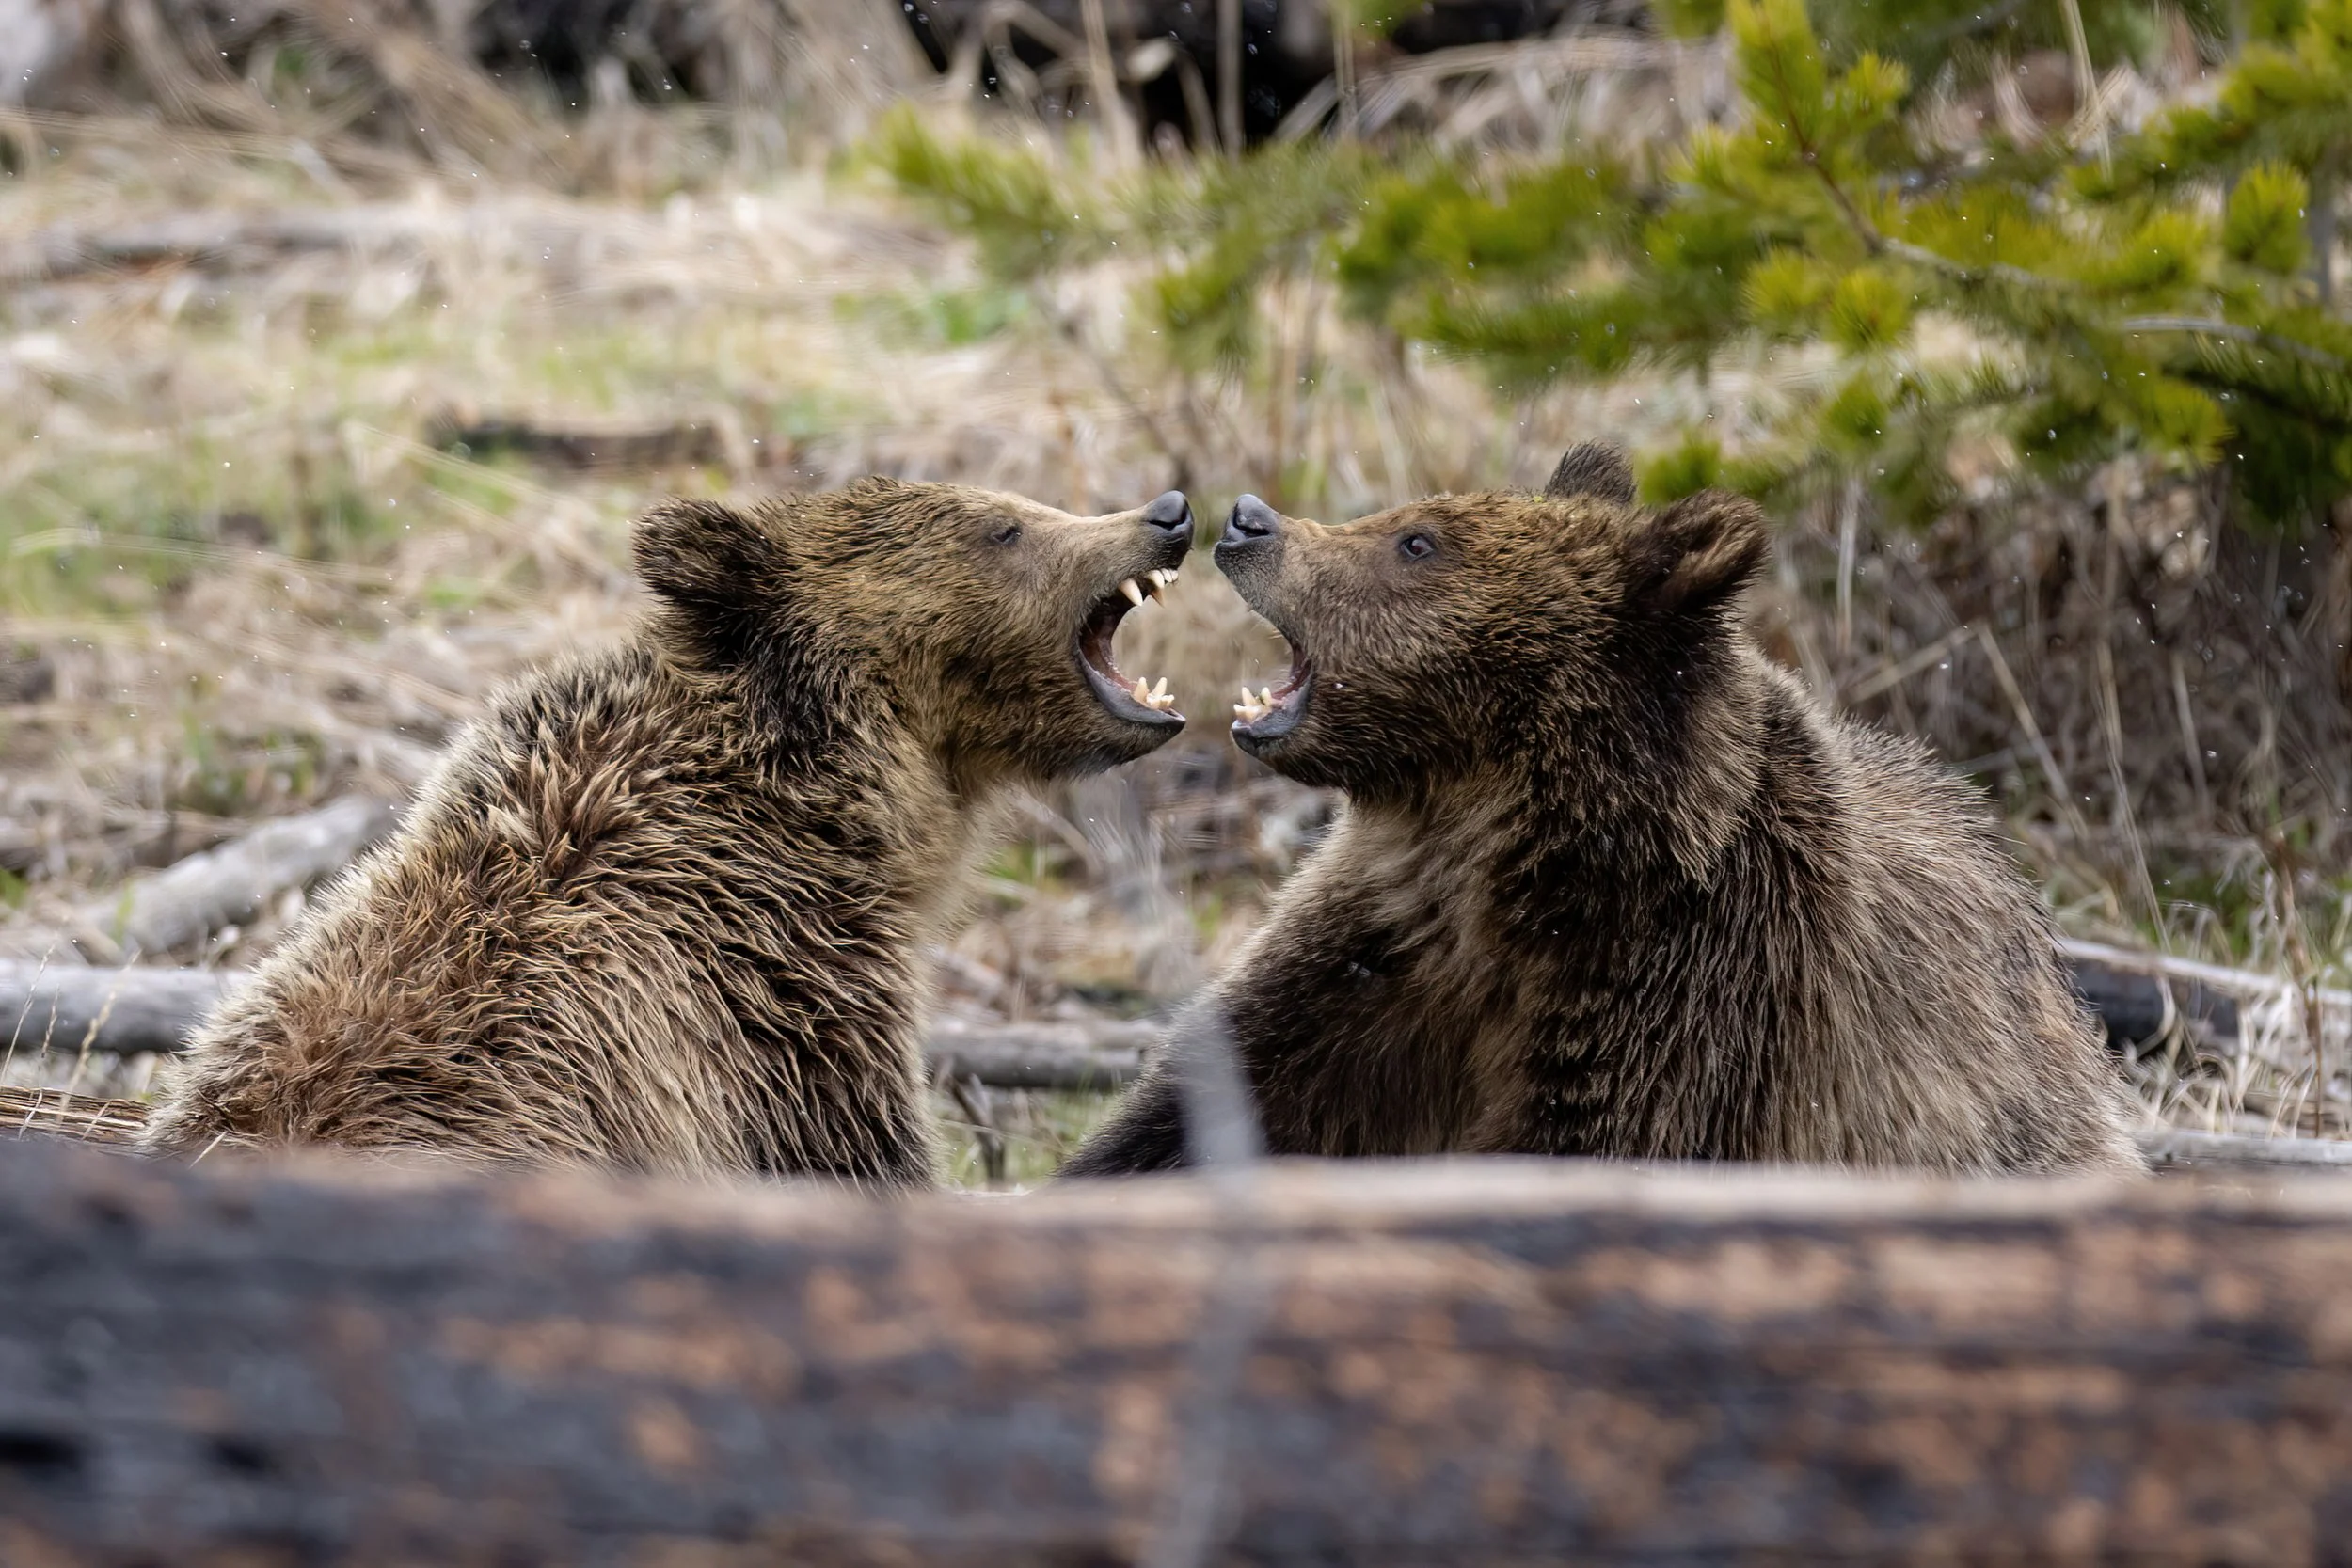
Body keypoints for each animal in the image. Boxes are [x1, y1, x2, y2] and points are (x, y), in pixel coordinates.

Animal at [1064, 445, 2142, 1176]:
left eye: (1418, 540)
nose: (1250, 519)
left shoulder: (1685, 989)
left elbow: (1589, 1139)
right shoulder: (1374, 953)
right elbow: (1215, 1103)